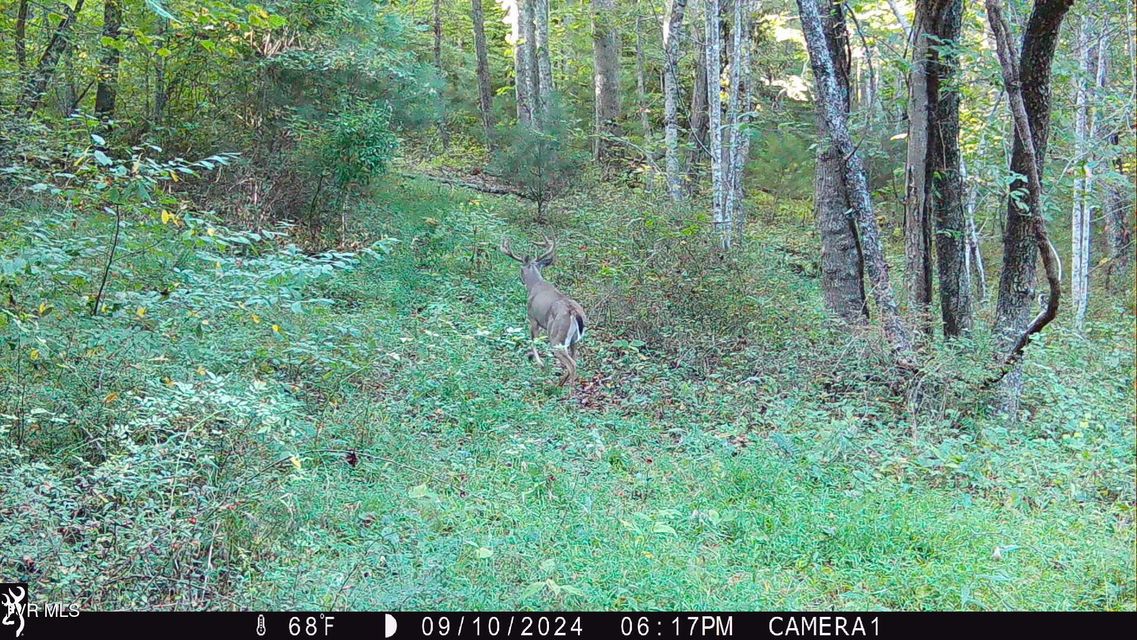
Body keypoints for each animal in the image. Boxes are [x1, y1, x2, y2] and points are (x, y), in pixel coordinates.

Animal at [500, 235, 586, 386]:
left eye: (521, 269)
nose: (520, 278)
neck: (535, 284)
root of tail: (574, 312)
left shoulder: (533, 318)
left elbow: (532, 340)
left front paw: (540, 364)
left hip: (556, 337)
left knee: (572, 364)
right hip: (575, 340)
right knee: (575, 358)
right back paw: (560, 383)